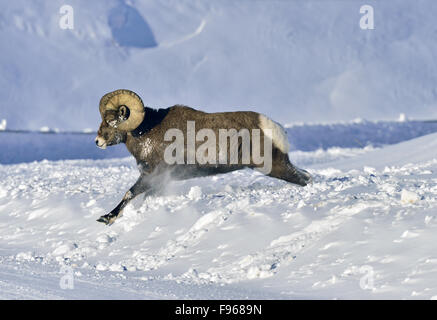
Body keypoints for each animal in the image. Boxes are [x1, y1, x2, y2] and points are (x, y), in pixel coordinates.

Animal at [95, 89, 310, 225]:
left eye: (111, 120)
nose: (98, 141)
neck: (147, 132)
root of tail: (275, 128)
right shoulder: (158, 181)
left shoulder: (152, 175)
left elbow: (130, 193)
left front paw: (106, 218)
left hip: (273, 167)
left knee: (304, 179)